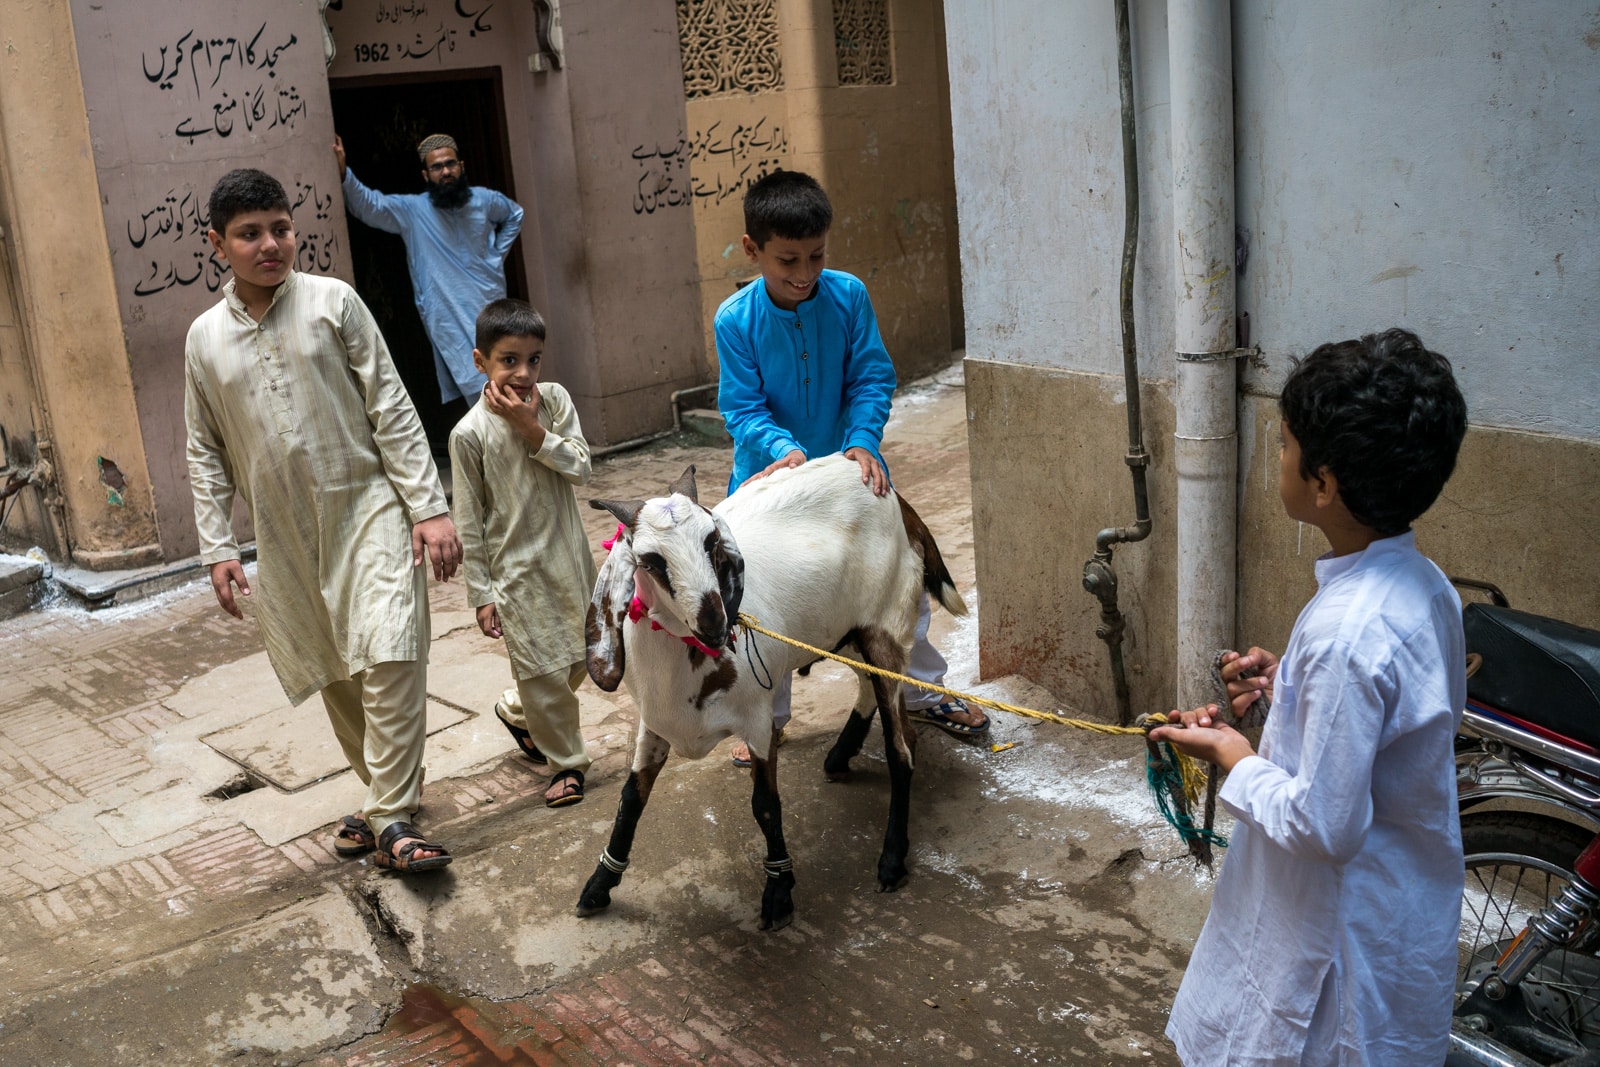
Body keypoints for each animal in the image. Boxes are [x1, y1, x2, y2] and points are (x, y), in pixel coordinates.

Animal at [582, 454, 966, 927]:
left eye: (712, 541)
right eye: (651, 560)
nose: (716, 623)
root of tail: (891, 493)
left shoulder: (758, 721)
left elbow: (765, 804)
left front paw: (780, 892)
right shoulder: (653, 725)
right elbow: (630, 800)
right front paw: (598, 885)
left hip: (886, 628)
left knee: (902, 745)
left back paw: (892, 859)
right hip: (843, 632)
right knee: (864, 683)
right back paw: (841, 754)